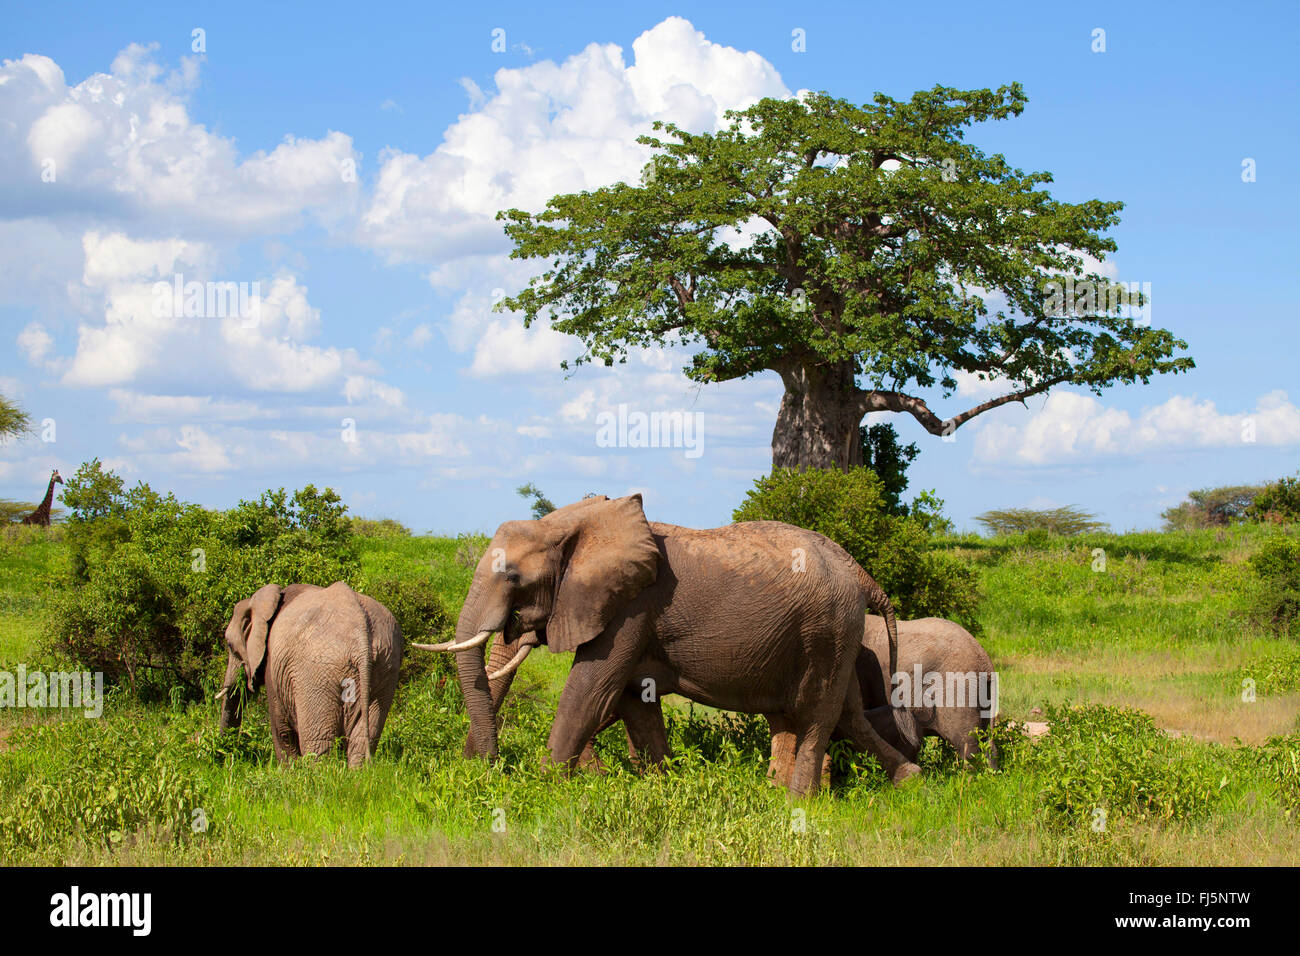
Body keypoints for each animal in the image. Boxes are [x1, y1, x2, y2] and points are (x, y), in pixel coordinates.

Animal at [217, 580, 405, 764]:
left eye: (230, 645)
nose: (224, 752)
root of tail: (360, 634)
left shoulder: (274, 664)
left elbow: (281, 729)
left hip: (316, 674)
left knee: (318, 742)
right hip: (385, 665)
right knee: (362, 740)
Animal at [431, 494, 920, 790]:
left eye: (514, 578)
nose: (483, 769)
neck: (570, 521)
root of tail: (860, 571)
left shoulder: (632, 609)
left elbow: (591, 693)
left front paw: (546, 786)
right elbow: (632, 701)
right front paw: (658, 786)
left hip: (830, 630)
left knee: (819, 714)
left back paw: (796, 802)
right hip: (831, 635)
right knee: (837, 715)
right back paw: (903, 781)